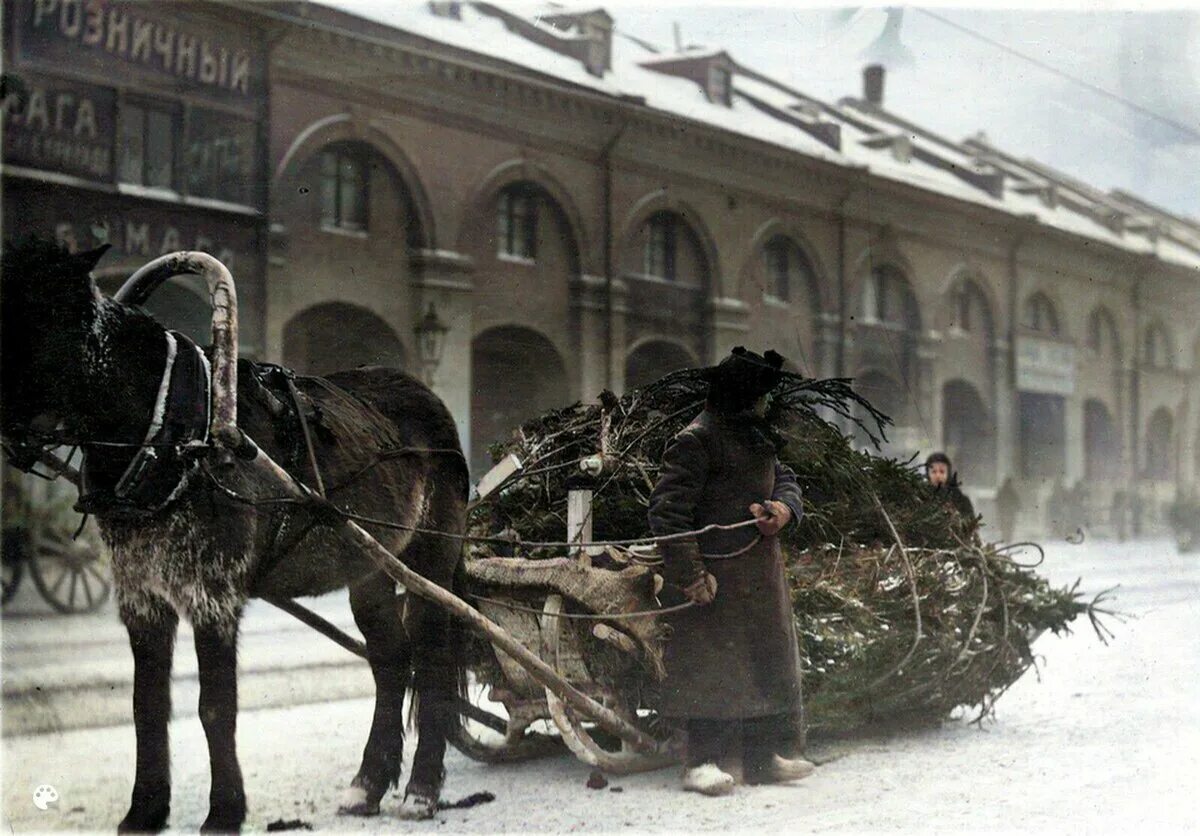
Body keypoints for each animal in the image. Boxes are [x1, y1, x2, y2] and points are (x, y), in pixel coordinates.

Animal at [0, 241, 468, 830]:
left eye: (38, 316)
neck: (174, 433)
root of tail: (430, 400)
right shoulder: (141, 596)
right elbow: (146, 704)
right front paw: (145, 810)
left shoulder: (212, 594)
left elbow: (215, 706)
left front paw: (224, 810)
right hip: (371, 569)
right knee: (390, 661)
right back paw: (367, 784)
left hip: (431, 557)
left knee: (430, 660)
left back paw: (422, 789)